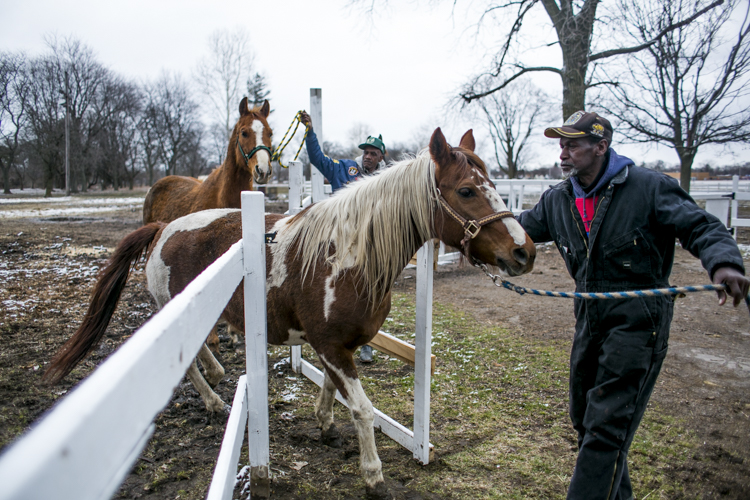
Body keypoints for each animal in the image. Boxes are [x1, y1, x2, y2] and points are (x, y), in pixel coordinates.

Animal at [44, 127, 536, 499]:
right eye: (467, 190)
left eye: (495, 187)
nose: (524, 251)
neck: (348, 256)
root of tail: (163, 227)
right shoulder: (333, 345)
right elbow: (363, 410)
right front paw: (373, 474)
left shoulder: (337, 345)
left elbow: (333, 390)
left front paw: (325, 424)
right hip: (173, 313)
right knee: (189, 367)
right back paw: (213, 398)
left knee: (203, 350)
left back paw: (218, 374)